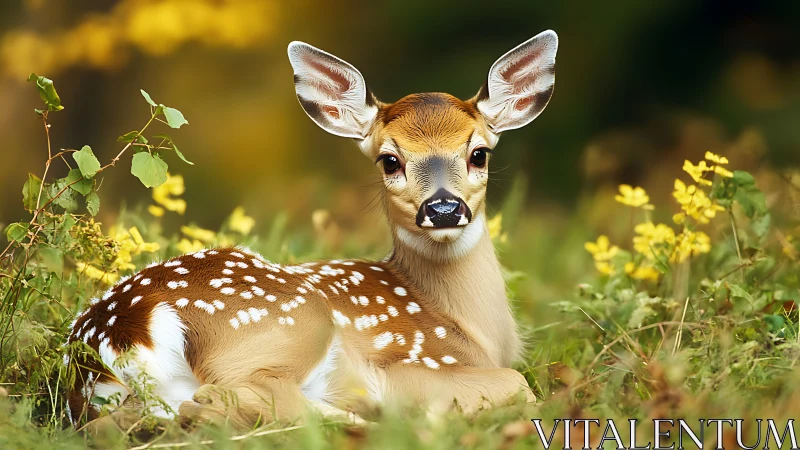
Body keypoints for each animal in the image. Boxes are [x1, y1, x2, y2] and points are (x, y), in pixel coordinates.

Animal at [65, 30, 559, 428]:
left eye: (479, 153)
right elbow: (518, 383)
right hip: (293, 322)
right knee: (235, 397)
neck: (470, 329)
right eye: (389, 160)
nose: (443, 208)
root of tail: (126, 330)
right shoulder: (413, 360)